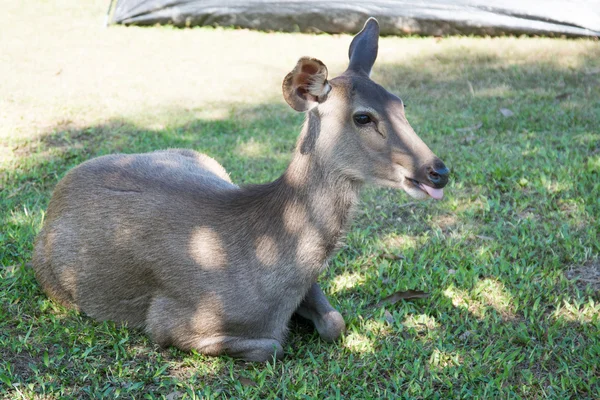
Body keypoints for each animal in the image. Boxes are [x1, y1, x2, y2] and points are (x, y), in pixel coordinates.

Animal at [31, 18, 446, 362]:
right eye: (362, 116)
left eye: (400, 103)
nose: (437, 171)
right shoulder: (172, 321)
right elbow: (272, 346)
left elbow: (335, 322)